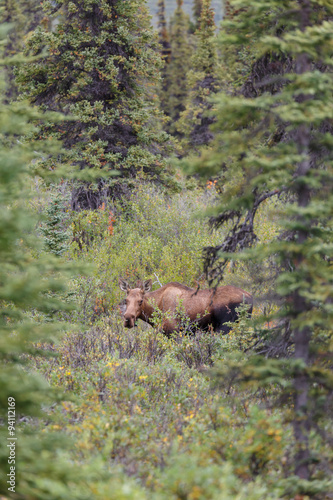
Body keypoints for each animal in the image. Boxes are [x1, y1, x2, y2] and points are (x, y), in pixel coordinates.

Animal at [118, 278, 252, 336]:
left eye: (140, 301)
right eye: (126, 300)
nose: (128, 318)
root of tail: (250, 296)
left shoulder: (174, 332)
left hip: (226, 326)